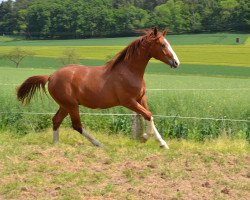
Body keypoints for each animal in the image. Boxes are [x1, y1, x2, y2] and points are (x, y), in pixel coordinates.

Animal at [16, 27, 180, 148]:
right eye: (163, 45)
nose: (176, 62)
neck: (129, 71)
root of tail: (51, 76)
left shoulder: (141, 98)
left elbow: (150, 116)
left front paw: (163, 144)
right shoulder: (128, 101)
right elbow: (148, 115)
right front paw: (144, 138)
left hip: (65, 105)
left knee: (56, 120)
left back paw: (56, 144)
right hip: (71, 105)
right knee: (76, 125)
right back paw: (100, 144)